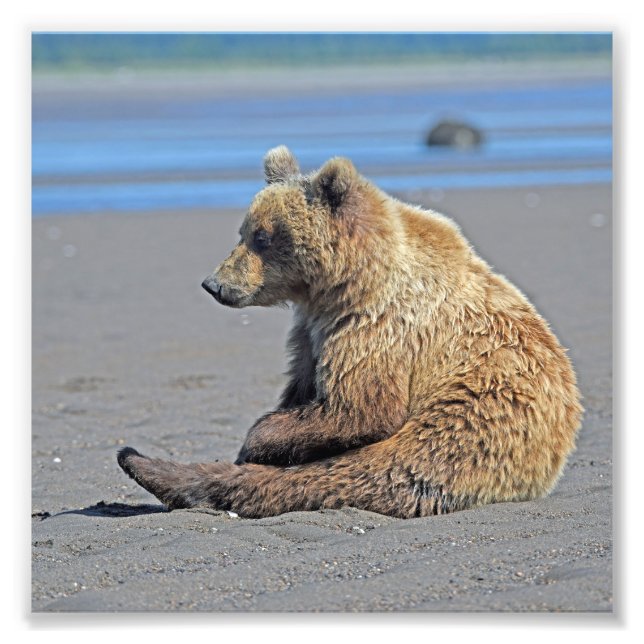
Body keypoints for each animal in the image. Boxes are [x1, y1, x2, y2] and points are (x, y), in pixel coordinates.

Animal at [117, 145, 582, 519]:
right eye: (244, 232)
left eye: (263, 237)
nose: (214, 284)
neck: (344, 283)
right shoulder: (312, 331)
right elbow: (304, 389)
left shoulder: (378, 326)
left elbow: (358, 409)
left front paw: (256, 442)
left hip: (471, 421)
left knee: (360, 473)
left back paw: (148, 465)